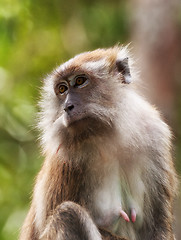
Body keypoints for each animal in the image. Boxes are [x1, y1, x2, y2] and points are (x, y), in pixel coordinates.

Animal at [19, 46, 177, 239]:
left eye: (80, 81)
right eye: (62, 89)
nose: (67, 107)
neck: (110, 136)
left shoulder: (155, 135)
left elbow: (158, 226)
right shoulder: (65, 158)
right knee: (68, 214)